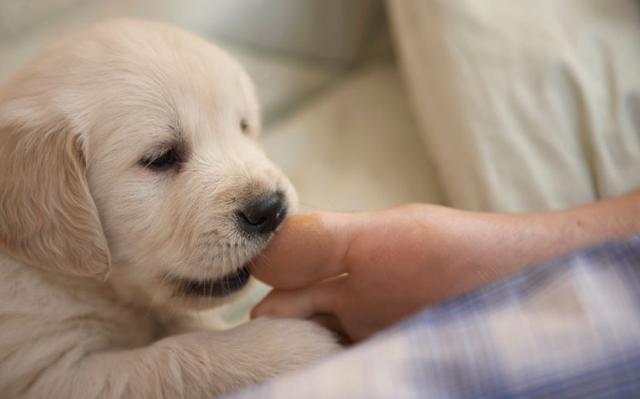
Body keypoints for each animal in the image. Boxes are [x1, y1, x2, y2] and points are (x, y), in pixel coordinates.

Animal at [0, 19, 338, 399]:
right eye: (161, 158)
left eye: (243, 127)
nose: (270, 209)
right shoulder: (48, 372)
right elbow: (173, 359)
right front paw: (288, 346)